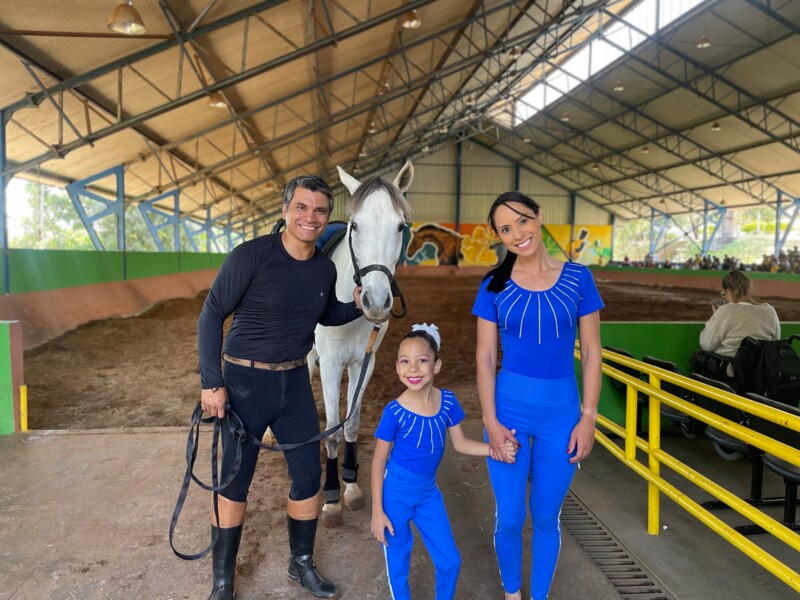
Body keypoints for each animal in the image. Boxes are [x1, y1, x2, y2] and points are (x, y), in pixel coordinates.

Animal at [310, 162, 412, 528]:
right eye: (355, 225)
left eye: (400, 226)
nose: (376, 302)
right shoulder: (330, 364)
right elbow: (332, 430)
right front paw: (330, 499)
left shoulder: (363, 362)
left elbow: (351, 422)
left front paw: (351, 486)